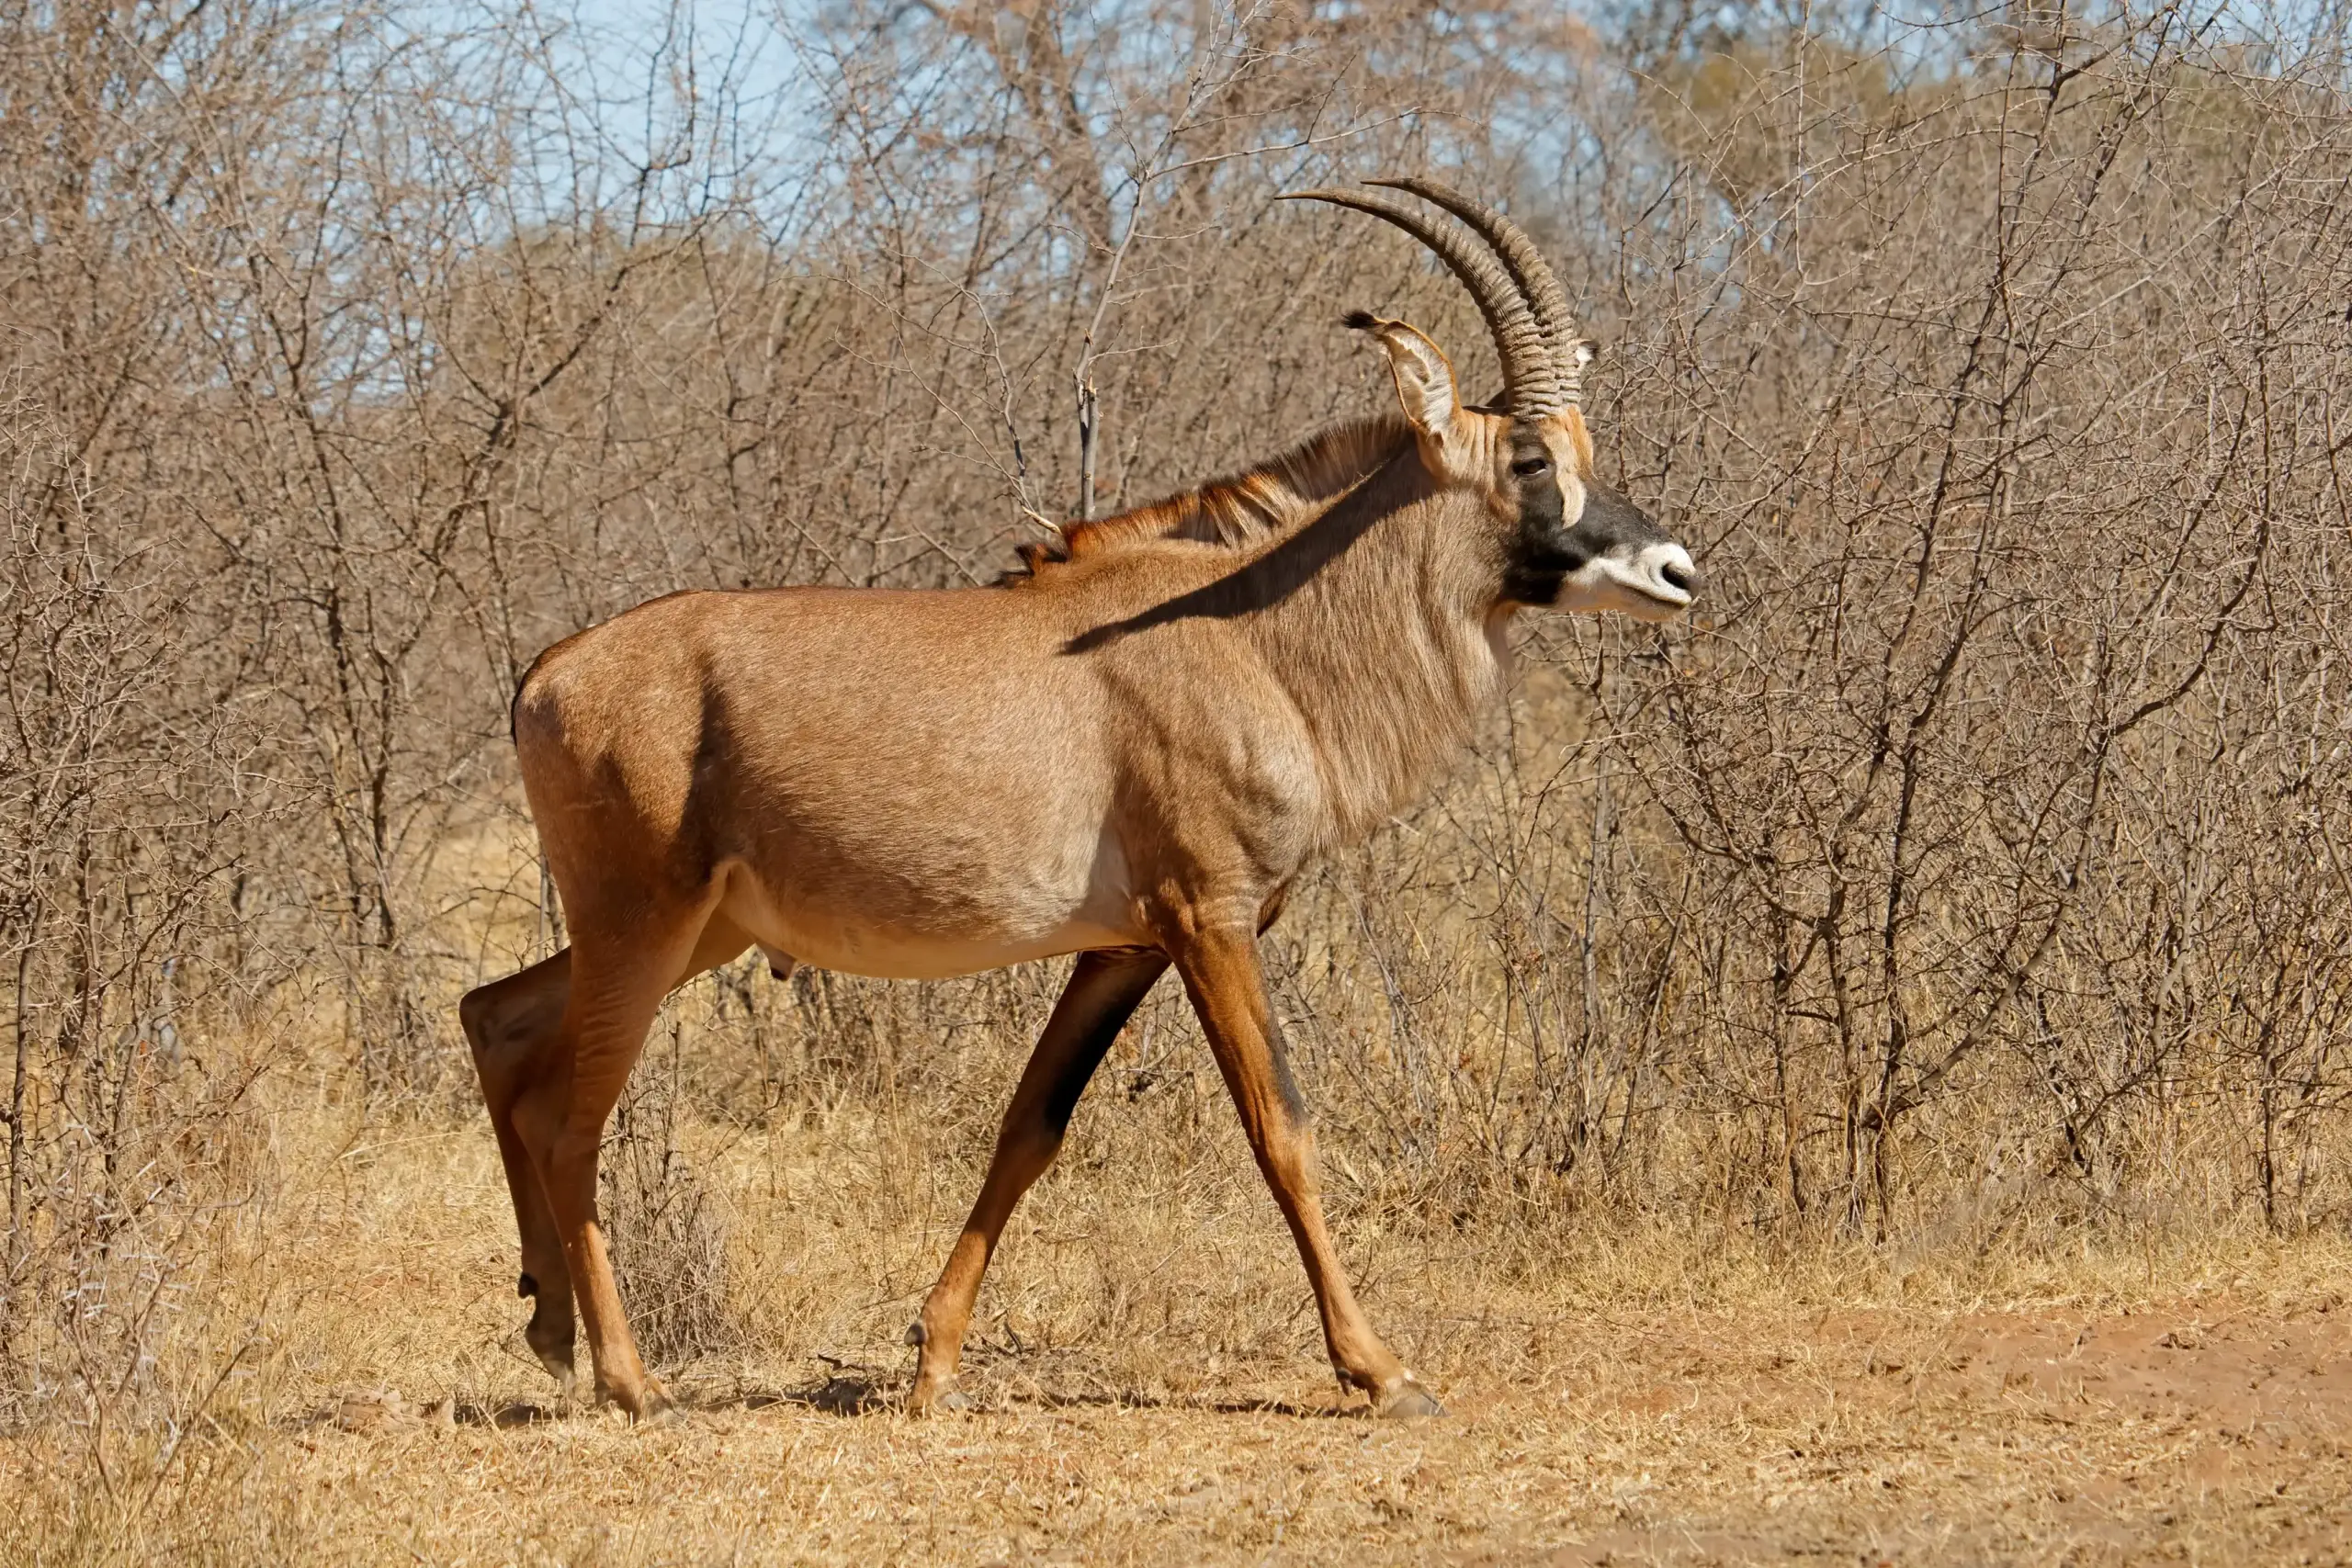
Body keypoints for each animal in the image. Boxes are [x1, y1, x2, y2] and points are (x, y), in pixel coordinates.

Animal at [459, 178, 1698, 1422]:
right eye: (1530, 458)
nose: (1674, 571)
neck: (1251, 637)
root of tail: (547, 671)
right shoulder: (1210, 917)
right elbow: (1279, 1130)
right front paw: (1379, 1369)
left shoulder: (1122, 946)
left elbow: (1029, 1128)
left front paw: (932, 1361)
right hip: (645, 923)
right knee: (572, 1120)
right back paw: (630, 1381)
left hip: (691, 930)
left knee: (497, 1020)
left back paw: (549, 1326)